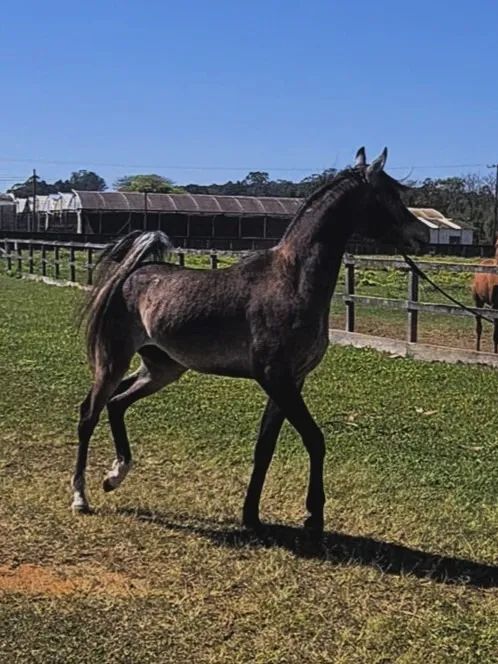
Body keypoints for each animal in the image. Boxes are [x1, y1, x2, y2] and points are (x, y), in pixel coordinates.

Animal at [72, 147, 429, 534]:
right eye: (389, 194)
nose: (423, 235)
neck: (292, 280)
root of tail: (130, 273)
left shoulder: (291, 381)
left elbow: (265, 447)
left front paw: (252, 517)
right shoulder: (275, 378)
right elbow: (314, 439)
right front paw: (313, 516)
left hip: (161, 369)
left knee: (117, 403)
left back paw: (114, 476)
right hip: (113, 360)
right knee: (89, 413)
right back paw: (80, 498)